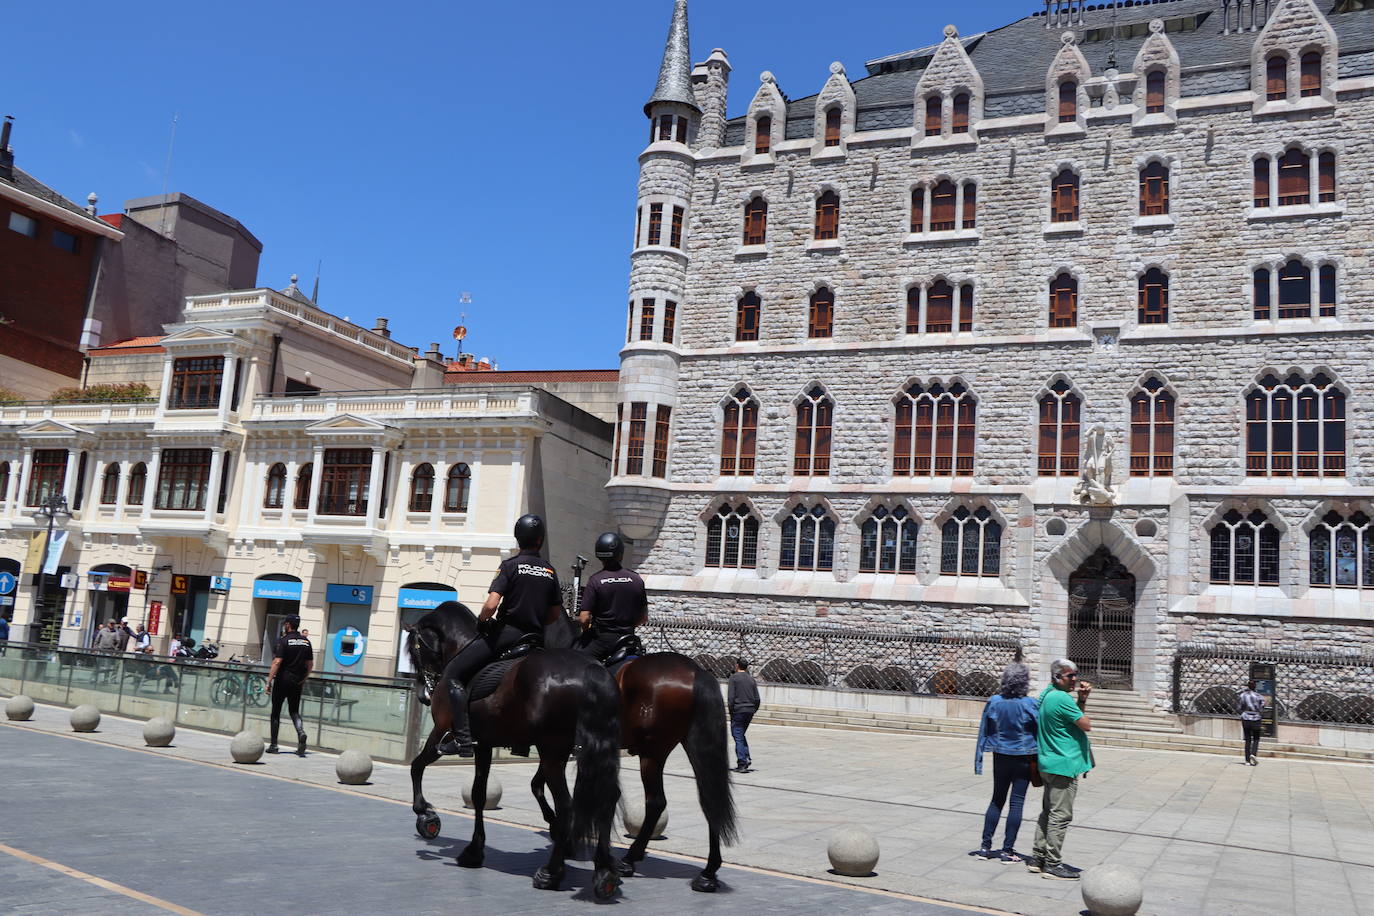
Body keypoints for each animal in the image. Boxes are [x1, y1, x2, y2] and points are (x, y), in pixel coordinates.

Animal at [401, 604, 623, 900]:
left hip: (552, 751)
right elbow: (479, 793)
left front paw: (426, 816)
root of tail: (591, 670)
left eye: (415, 651)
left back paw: (551, 873)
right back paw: (605, 873)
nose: (424, 695)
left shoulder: (443, 731)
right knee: (606, 798)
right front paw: (473, 849)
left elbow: (419, 766)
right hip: (588, 749)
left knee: (567, 804)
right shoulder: (484, 744)